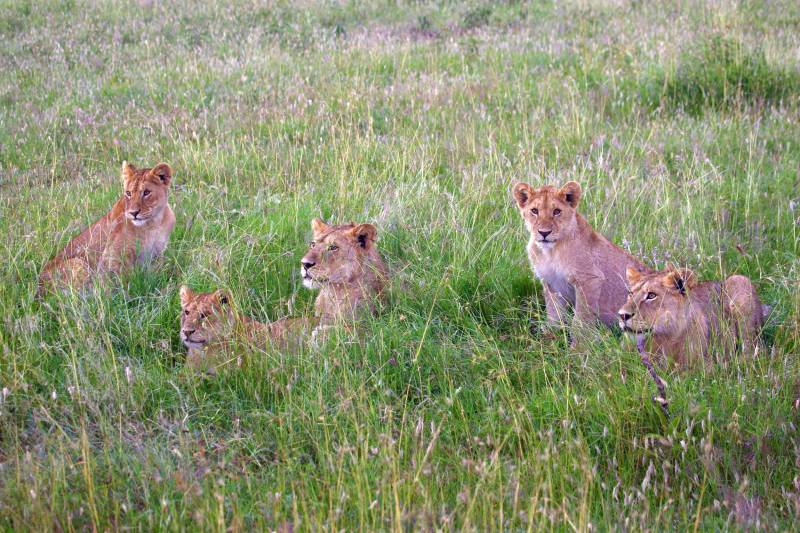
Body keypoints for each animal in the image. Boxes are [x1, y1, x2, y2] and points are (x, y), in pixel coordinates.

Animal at [38, 161, 176, 295]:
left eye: (146, 192)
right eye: (128, 193)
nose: (134, 213)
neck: (153, 223)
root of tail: (38, 290)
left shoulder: (157, 254)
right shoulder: (111, 256)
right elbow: (122, 281)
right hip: (78, 263)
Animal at [512, 181, 650, 345]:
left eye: (557, 211)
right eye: (534, 211)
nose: (544, 233)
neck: (550, 252)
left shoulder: (589, 279)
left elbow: (580, 319)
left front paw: (579, 346)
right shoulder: (551, 282)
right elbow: (554, 313)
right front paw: (550, 336)